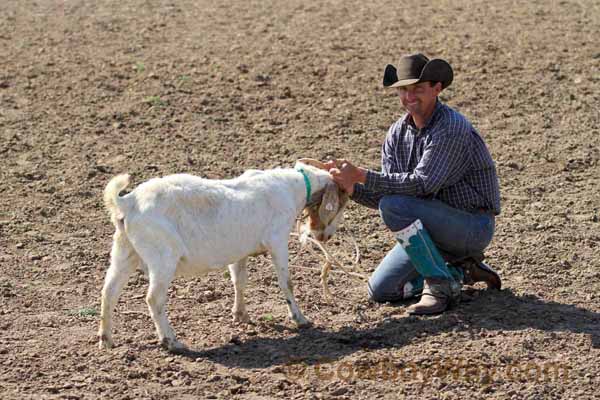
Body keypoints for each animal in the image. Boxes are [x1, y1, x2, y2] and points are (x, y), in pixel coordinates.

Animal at [96, 158, 344, 352]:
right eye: (341, 202)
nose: (326, 236)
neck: (295, 188)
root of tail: (128, 202)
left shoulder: (240, 251)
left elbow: (239, 280)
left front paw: (240, 315)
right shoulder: (278, 240)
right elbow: (287, 283)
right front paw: (301, 320)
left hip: (124, 251)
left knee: (109, 291)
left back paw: (106, 340)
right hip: (162, 256)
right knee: (153, 298)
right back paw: (172, 342)